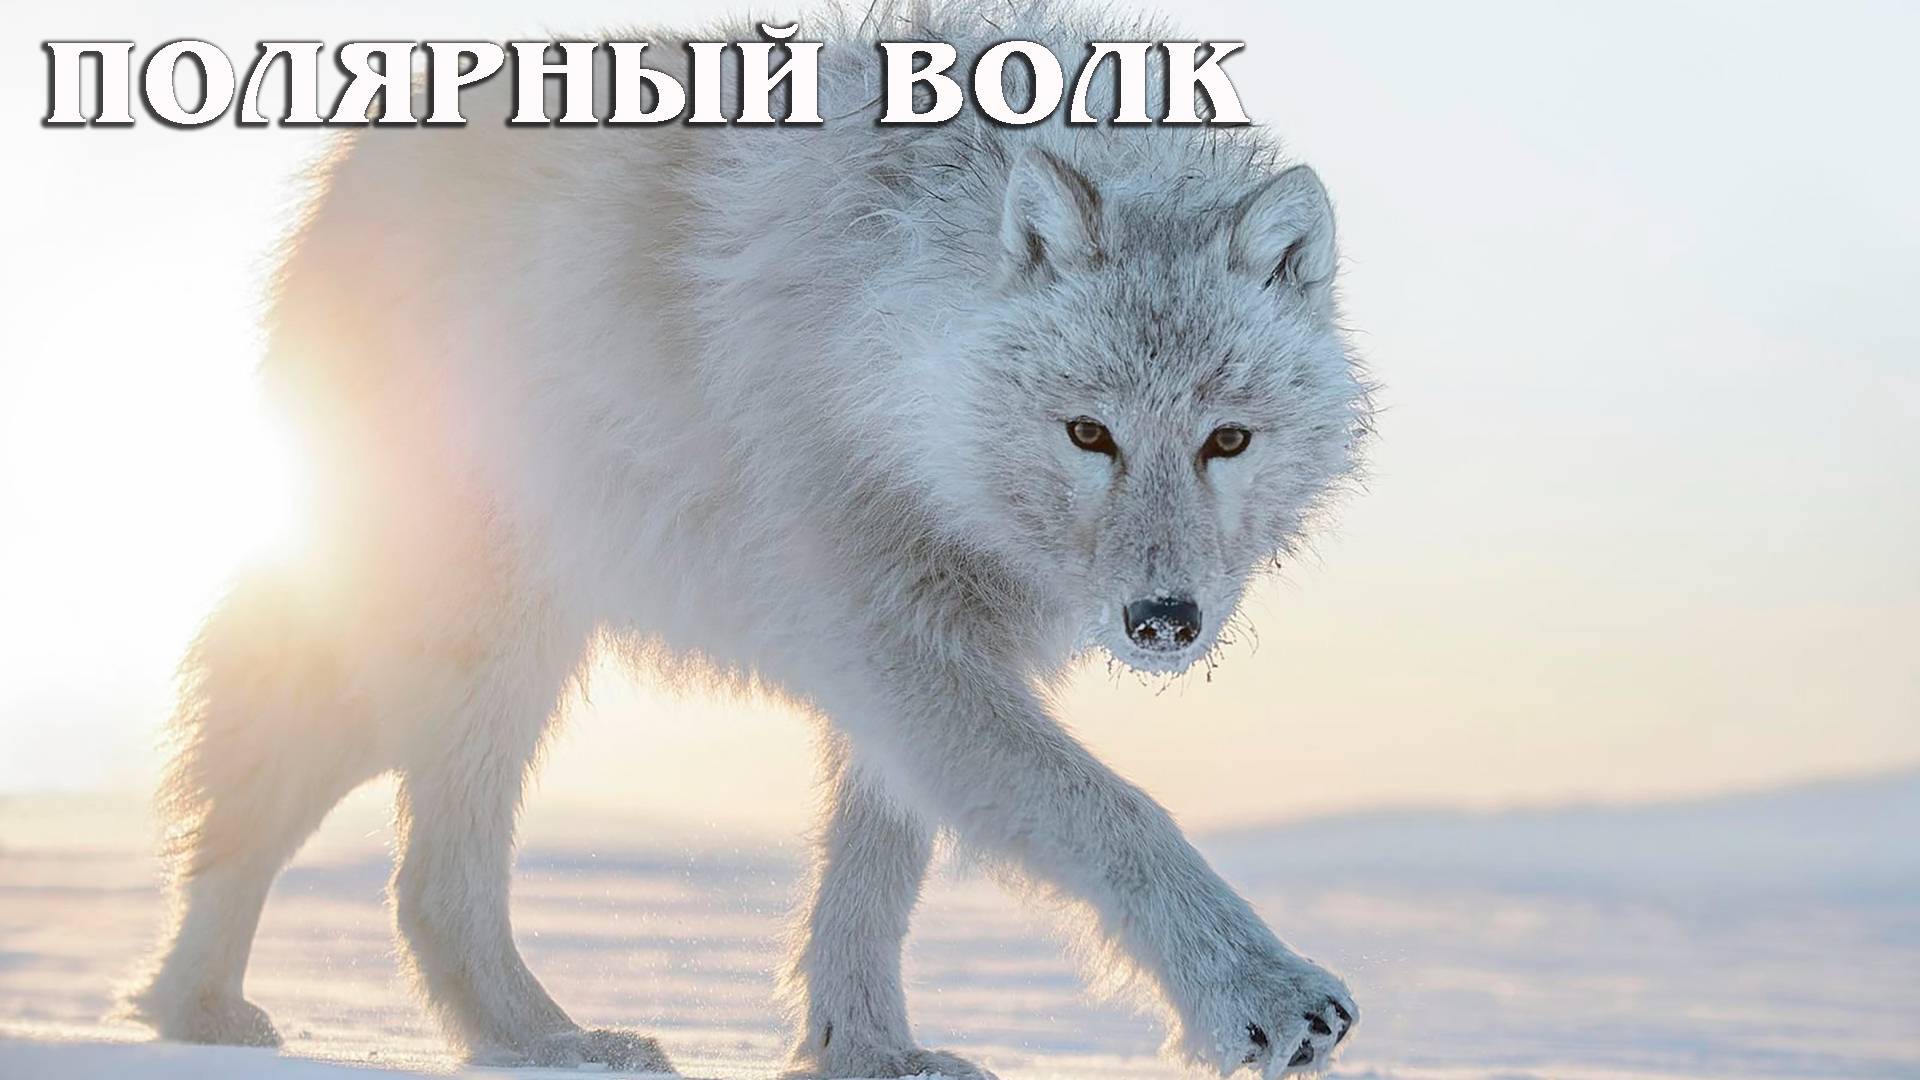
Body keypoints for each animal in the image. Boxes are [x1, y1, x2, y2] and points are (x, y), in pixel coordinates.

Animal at [123, 2, 1373, 1076]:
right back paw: (547, 1044)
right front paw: (1261, 996)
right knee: (420, 877)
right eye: (1089, 432)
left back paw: (196, 1012)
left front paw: (870, 1053)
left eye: (1226, 439)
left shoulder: (923, 657)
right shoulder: (884, 634)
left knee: (263, 804)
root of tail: (350, 175)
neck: (895, 338)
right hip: (483, 652)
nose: (1164, 622)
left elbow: (875, 883)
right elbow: (1115, 812)